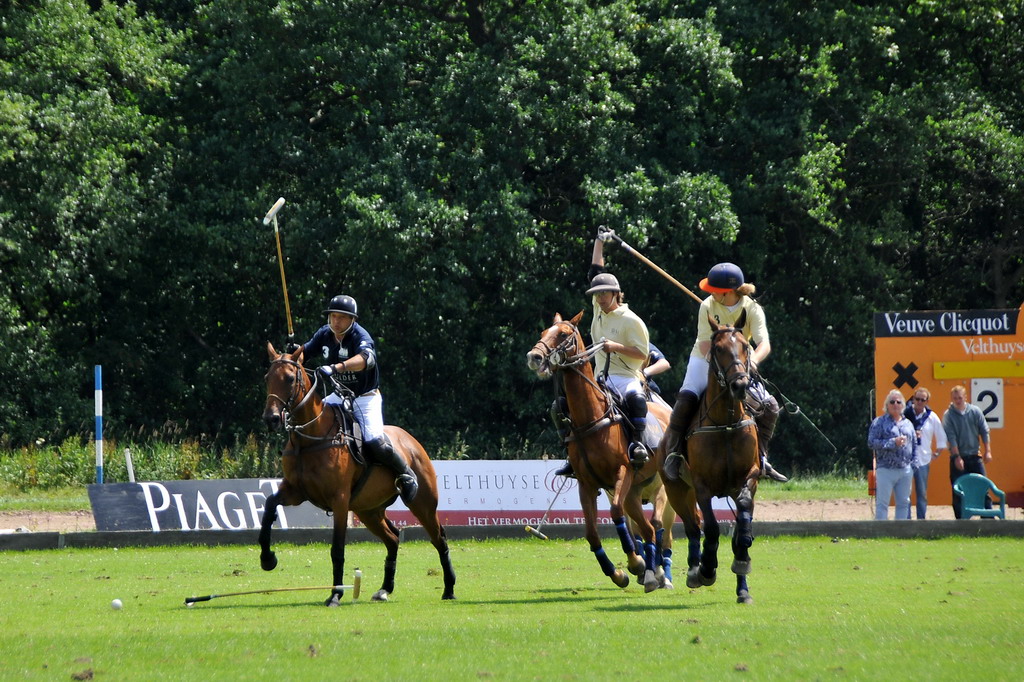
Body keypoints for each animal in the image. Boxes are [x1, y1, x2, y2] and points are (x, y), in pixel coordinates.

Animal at [260, 342, 456, 602]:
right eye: (267, 378)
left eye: (290, 378)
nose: (271, 418)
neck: (309, 438)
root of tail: (411, 441)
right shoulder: (296, 491)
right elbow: (269, 507)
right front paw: (267, 558)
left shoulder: (339, 500)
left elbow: (337, 549)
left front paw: (335, 595)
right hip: (368, 510)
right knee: (393, 538)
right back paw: (385, 589)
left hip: (423, 502)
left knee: (439, 538)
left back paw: (449, 589)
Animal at [528, 311, 679, 585]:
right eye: (544, 332)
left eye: (563, 334)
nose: (534, 357)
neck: (590, 419)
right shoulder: (586, 483)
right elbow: (591, 533)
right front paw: (617, 573)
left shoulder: (622, 472)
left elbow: (616, 513)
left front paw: (636, 563)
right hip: (634, 492)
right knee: (647, 529)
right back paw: (654, 572)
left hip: (660, 487)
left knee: (656, 525)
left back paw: (658, 571)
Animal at [655, 311, 761, 602]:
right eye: (718, 349)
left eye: (745, 346)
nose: (740, 384)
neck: (726, 422)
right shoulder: (701, 486)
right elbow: (711, 528)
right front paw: (707, 569)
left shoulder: (749, 478)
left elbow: (742, 525)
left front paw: (742, 561)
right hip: (676, 489)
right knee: (693, 527)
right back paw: (695, 570)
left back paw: (743, 589)